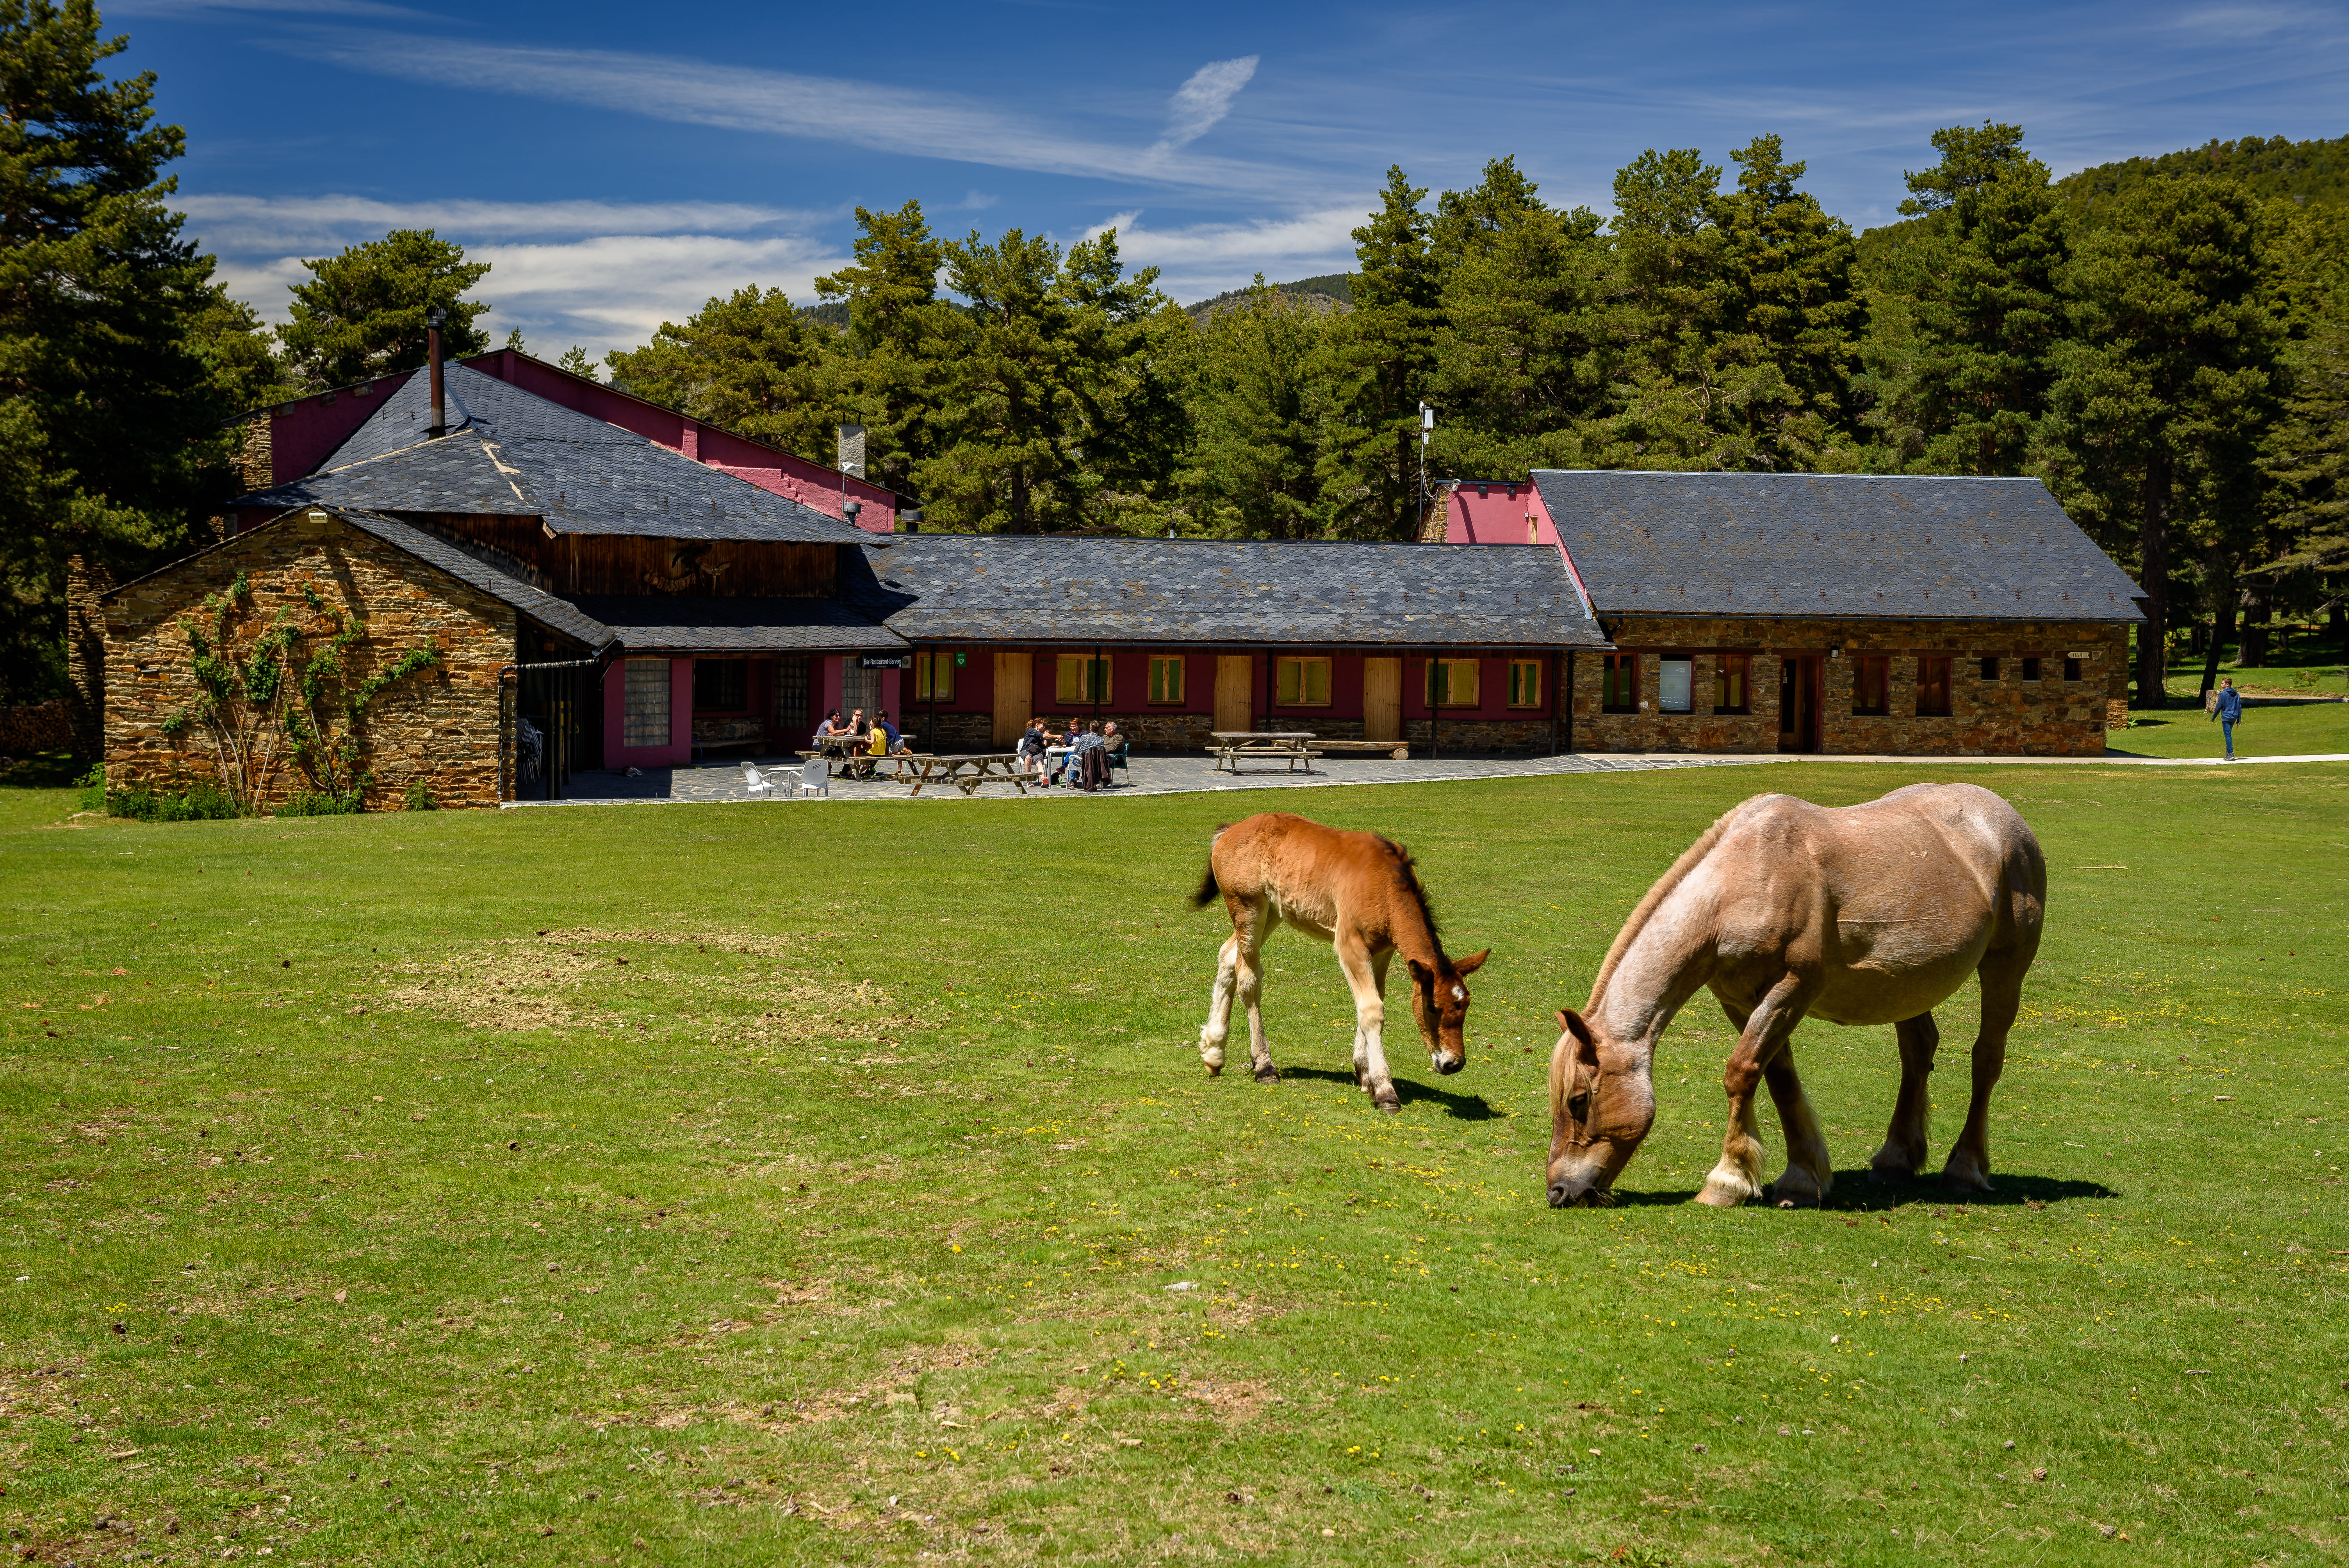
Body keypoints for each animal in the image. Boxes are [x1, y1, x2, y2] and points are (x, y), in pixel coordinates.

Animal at [1193, 817, 1485, 1108]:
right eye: (1432, 1007)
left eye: (1465, 1005)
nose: (1454, 1063)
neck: (1384, 883)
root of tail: (1229, 830)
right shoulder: (1349, 944)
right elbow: (1372, 1009)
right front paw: (1384, 1090)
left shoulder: (1382, 950)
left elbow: (1374, 999)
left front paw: (1365, 1073)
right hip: (1248, 907)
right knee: (1249, 979)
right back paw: (1264, 1067)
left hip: (1273, 912)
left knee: (1228, 956)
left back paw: (1213, 1052)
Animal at [1541, 784, 2039, 1211]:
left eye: (1578, 1100)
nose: (1559, 1191)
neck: (1747, 879)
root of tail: (2003, 816)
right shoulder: (1741, 1000)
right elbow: (1777, 1077)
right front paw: (1803, 1177)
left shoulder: (1793, 989)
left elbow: (1742, 1072)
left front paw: (1727, 1180)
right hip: (1907, 985)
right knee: (1917, 1051)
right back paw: (1896, 1160)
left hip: (2005, 967)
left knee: (1986, 1059)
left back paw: (1965, 1168)